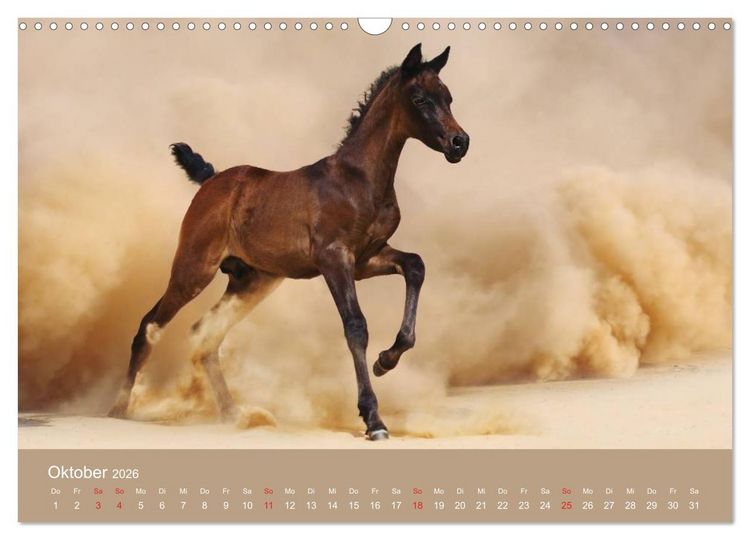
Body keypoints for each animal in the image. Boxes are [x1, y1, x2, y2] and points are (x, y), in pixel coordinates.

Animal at [107, 43, 469, 440]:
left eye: (448, 98)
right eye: (420, 99)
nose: (460, 142)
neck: (359, 179)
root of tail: (212, 179)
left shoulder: (366, 259)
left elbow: (416, 265)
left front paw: (385, 361)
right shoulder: (334, 259)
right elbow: (356, 326)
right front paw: (373, 418)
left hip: (251, 281)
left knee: (205, 335)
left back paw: (234, 414)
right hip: (193, 269)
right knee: (149, 325)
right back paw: (119, 409)